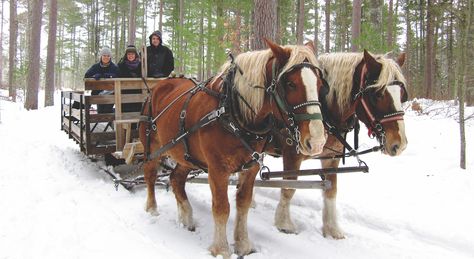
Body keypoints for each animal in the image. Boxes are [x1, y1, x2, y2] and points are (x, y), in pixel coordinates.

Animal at [139, 38, 328, 258]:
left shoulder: (251, 167)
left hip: (186, 155)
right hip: (153, 146)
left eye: (320, 85)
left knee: (176, 179)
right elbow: (222, 208)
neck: (232, 111)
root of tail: (159, 86)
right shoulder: (217, 169)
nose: (317, 141)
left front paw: (243, 244)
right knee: (150, 174)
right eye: (290, 84)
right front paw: (221, 248)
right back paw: (152, 208)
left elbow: (243, 204)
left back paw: (187, 216)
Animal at [272, 49, 410, 239]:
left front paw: (332, 229)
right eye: (377, 94)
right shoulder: (292, 155)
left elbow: (331, 191)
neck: (324, 110)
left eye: (402, 95)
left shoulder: (331, 158)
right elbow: (288, 188)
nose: (399, 144)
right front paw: (284, 223)